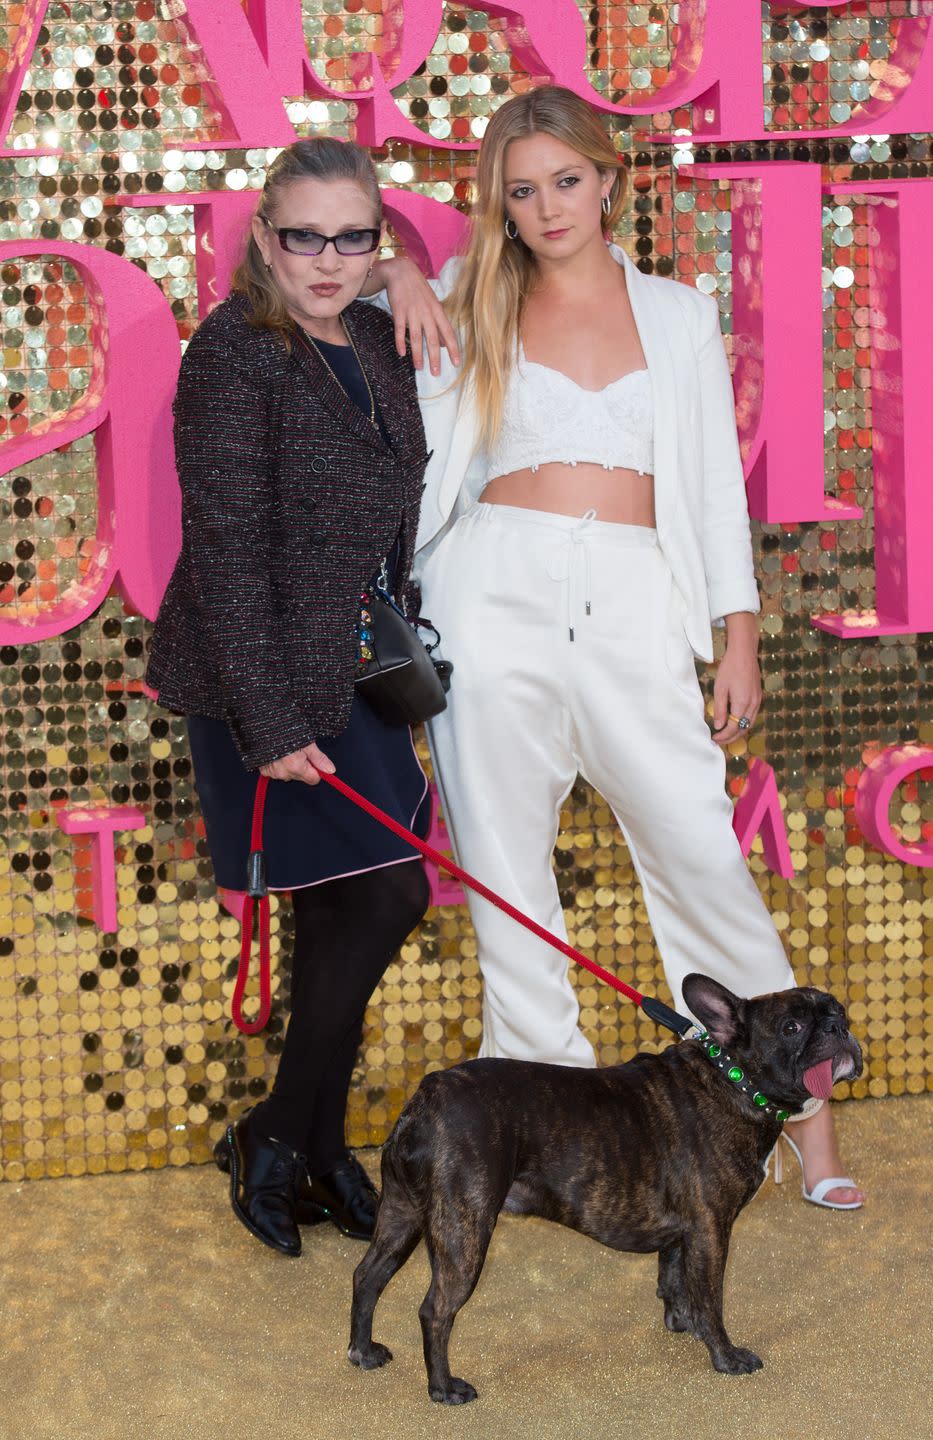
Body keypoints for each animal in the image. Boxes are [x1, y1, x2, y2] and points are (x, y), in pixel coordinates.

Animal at [351, 973, 869, 1399]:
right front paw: (725, 1355)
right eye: (792, 1027)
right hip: (464, 1230)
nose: (838, 1027)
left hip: (402, 1216)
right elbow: (711, 1296)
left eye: (839, 1010)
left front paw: (684, 1324)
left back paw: (363, 1352)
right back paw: (443, 1389)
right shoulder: (710, 1229)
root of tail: (424, 1098)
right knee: (435, 1309)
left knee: (367, 1275)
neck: (732, 1079)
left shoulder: (685, 1232)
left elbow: (675, 1279)